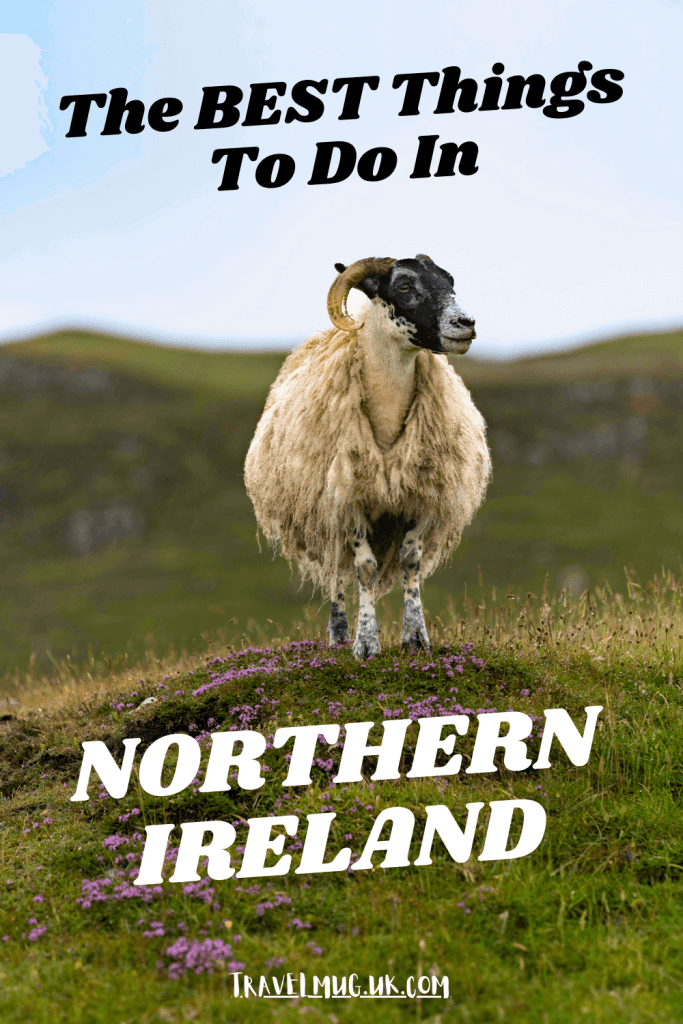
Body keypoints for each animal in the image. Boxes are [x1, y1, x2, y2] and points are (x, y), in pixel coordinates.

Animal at [245, 251, 491, 659]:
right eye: (404, 285)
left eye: (449, 280)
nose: (466, 324)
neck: (388, 418)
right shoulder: (349, 500)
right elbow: (364, 568)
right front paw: (366, 643)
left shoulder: (421, 497)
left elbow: (410, 562)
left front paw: (416, 637)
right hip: (325, 512)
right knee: (337, 571)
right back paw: (339, 633)